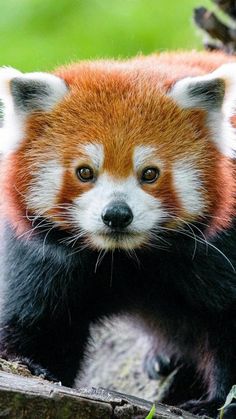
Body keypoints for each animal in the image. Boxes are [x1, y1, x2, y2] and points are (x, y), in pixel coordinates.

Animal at [0, 50, 236, 418]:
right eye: (84, 172)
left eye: (150, 174)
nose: (116, 215)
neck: (124, 257)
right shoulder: (41, 259)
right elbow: (39, 320)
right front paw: (32, 366)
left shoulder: (219, 249)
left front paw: (216, 403)